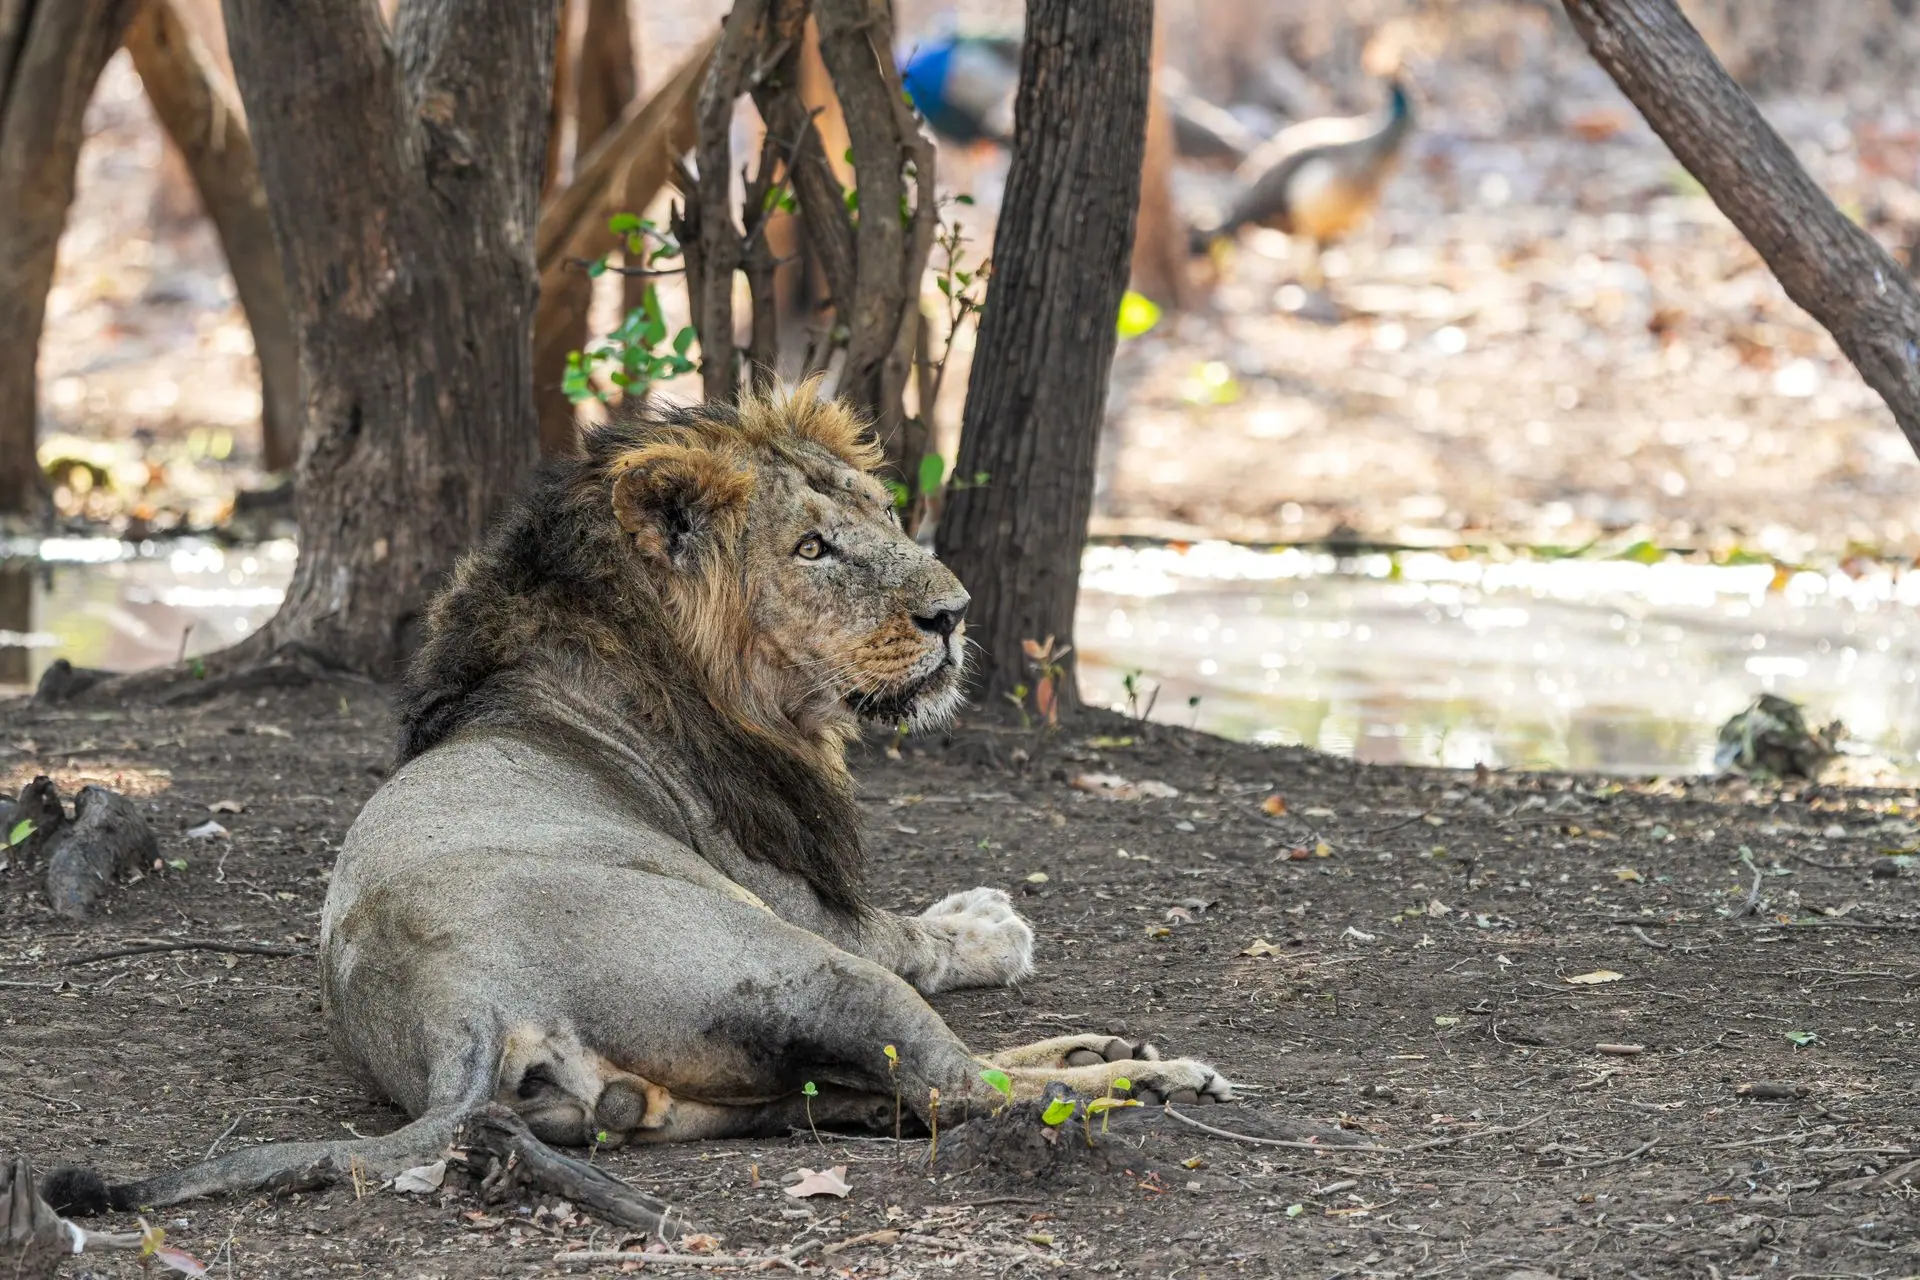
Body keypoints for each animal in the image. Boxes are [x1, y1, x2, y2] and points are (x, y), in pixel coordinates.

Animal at [48, 387, 1232, 1227]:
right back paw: (1143, 1075)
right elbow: (920, 936)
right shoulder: (808, 906)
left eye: (887, 516)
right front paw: (990, 922)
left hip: (716, 1081)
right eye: (812, 548)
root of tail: (460, 1004)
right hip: (795, 962)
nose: (953, 612)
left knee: (892, 1092)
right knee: (959, 1085)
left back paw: (1100, 1053)